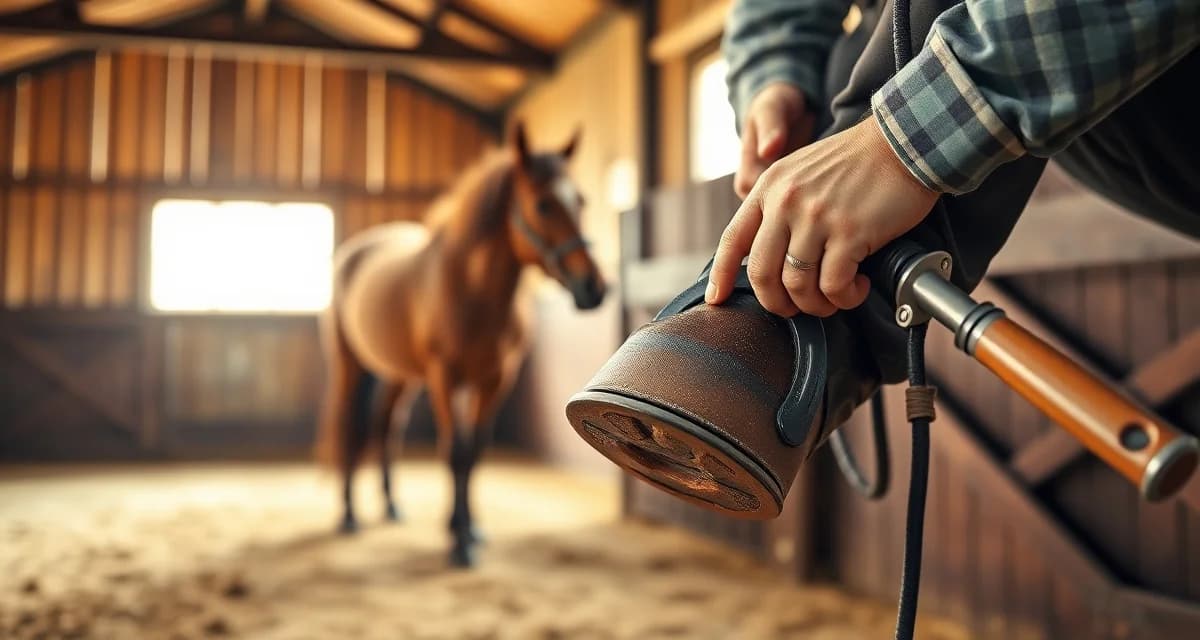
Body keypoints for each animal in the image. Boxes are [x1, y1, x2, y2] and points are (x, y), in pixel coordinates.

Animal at [316, 122, 606, 566]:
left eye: (581, 200)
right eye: (542, 205)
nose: (594, 288)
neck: (470, 289)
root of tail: (354, 252)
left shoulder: (494, 379)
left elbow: (474, 453)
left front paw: (466, 528)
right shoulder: (444, 377)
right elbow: (454, 451)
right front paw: (460, 545)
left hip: (400, 374)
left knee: (386, 426)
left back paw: (391, 506)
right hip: (349, 364)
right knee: (350, 425)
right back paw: (348, 516)